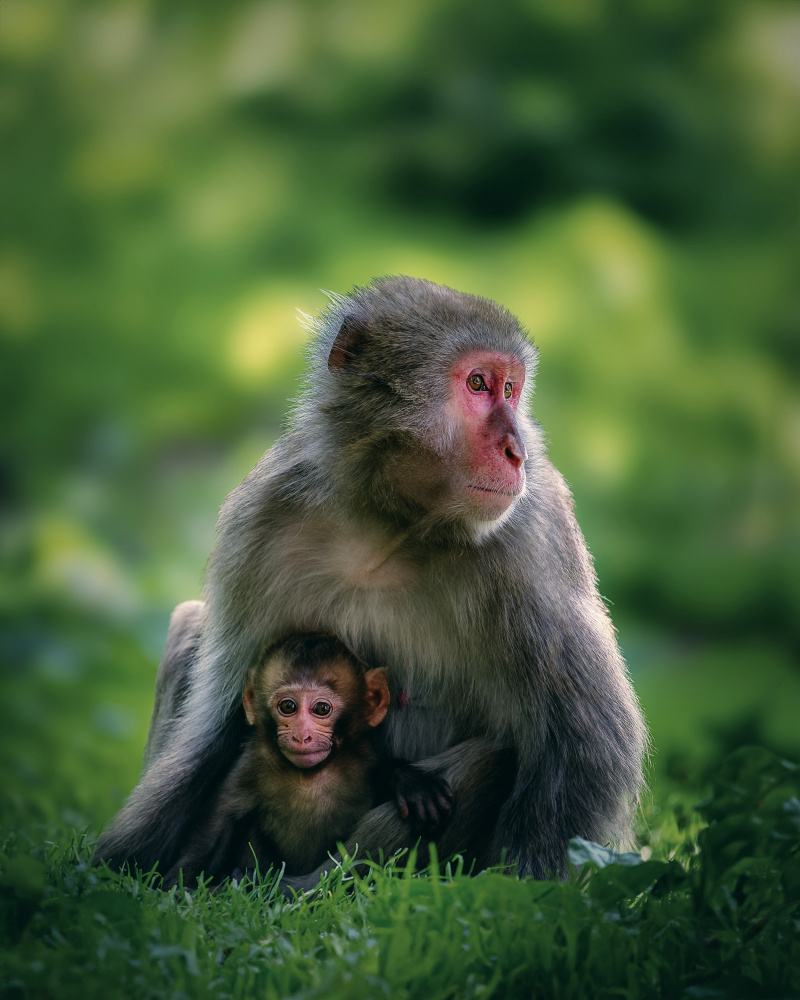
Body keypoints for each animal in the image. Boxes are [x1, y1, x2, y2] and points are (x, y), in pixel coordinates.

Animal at [163, 632, 455, 885]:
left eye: (322, 708)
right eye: (288, 706)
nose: (302, 736)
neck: (310, 776)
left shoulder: (363, 762)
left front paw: (407, 781)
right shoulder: (249, 766)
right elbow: (216, 826)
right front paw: (175, 886)